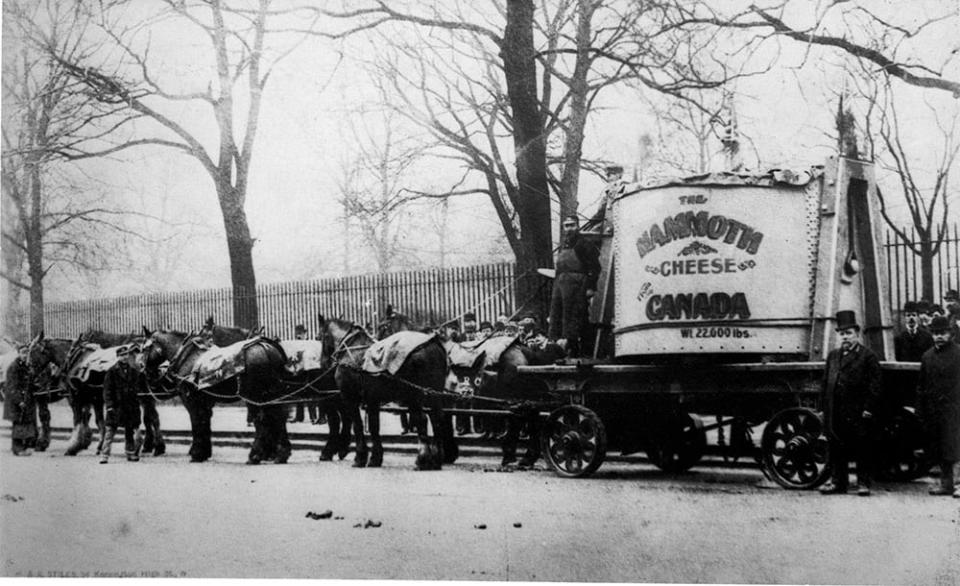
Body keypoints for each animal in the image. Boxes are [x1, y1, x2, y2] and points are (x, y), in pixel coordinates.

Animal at [316, 312, 456, 468]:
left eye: (319, 337)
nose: (324, 364)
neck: (351, 349)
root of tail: (432, 344)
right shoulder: (372, 400)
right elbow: (374, 426)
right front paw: (375, 458)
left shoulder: (350, 398)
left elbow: (357, 425)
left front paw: (360, 457)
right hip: (433, 393)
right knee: (437, 419)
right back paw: (436, 459)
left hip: (414, 395)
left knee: (422, 419)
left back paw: (422, 459)